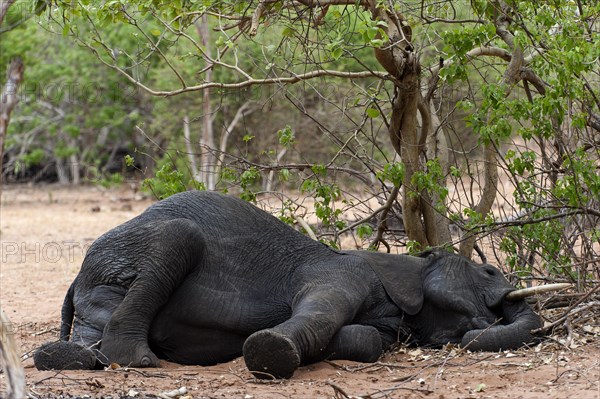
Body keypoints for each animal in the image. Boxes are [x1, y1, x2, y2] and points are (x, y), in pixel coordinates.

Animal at [35, 192, 544, 380]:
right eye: (487, 273)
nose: (502, 289)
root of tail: (77, 276)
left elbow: (365, 338)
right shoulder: (338, 275)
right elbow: (321, 314)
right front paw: (269, 353)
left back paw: (68, 358)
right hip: (142, 249)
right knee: (179, 237)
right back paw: (136, 359)